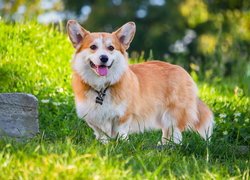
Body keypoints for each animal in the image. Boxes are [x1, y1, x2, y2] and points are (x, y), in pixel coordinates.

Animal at [67, 20, 214, 143]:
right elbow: (102, 134)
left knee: (175, 133)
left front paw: (122, 144)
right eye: (93, 47)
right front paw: (105, 145)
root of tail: (183, 71)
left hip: (173, 114)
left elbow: (121, 133)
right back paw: (164, 145)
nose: (104, 58)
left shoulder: (124, 116)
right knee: (167, 132)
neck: (102, 88)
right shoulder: (93, 118)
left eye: (111, 48)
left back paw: (171, 147)